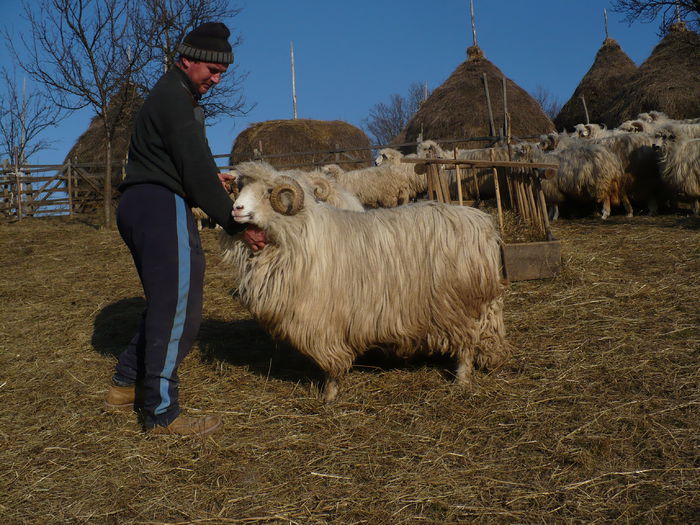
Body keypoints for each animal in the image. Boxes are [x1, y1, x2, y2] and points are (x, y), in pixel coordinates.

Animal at [220, 162, 508, 400]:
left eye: (269, 191)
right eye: (241, 188)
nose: (236, 209)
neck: (299, 231)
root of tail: (481, 224)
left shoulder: (326, 319)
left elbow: (331, 361)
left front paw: (330, 394)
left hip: (458, 303)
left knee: (467, 344)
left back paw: (462, 380)